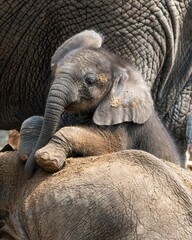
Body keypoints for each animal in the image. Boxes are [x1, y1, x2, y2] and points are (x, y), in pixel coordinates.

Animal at [21, 29, 181, 176]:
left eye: (90, 81)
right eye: (56, 73)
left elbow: (111, 146)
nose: (29, 172)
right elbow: (35, 120)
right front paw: (26, 154)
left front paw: (46, 159)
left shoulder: (125, 124)